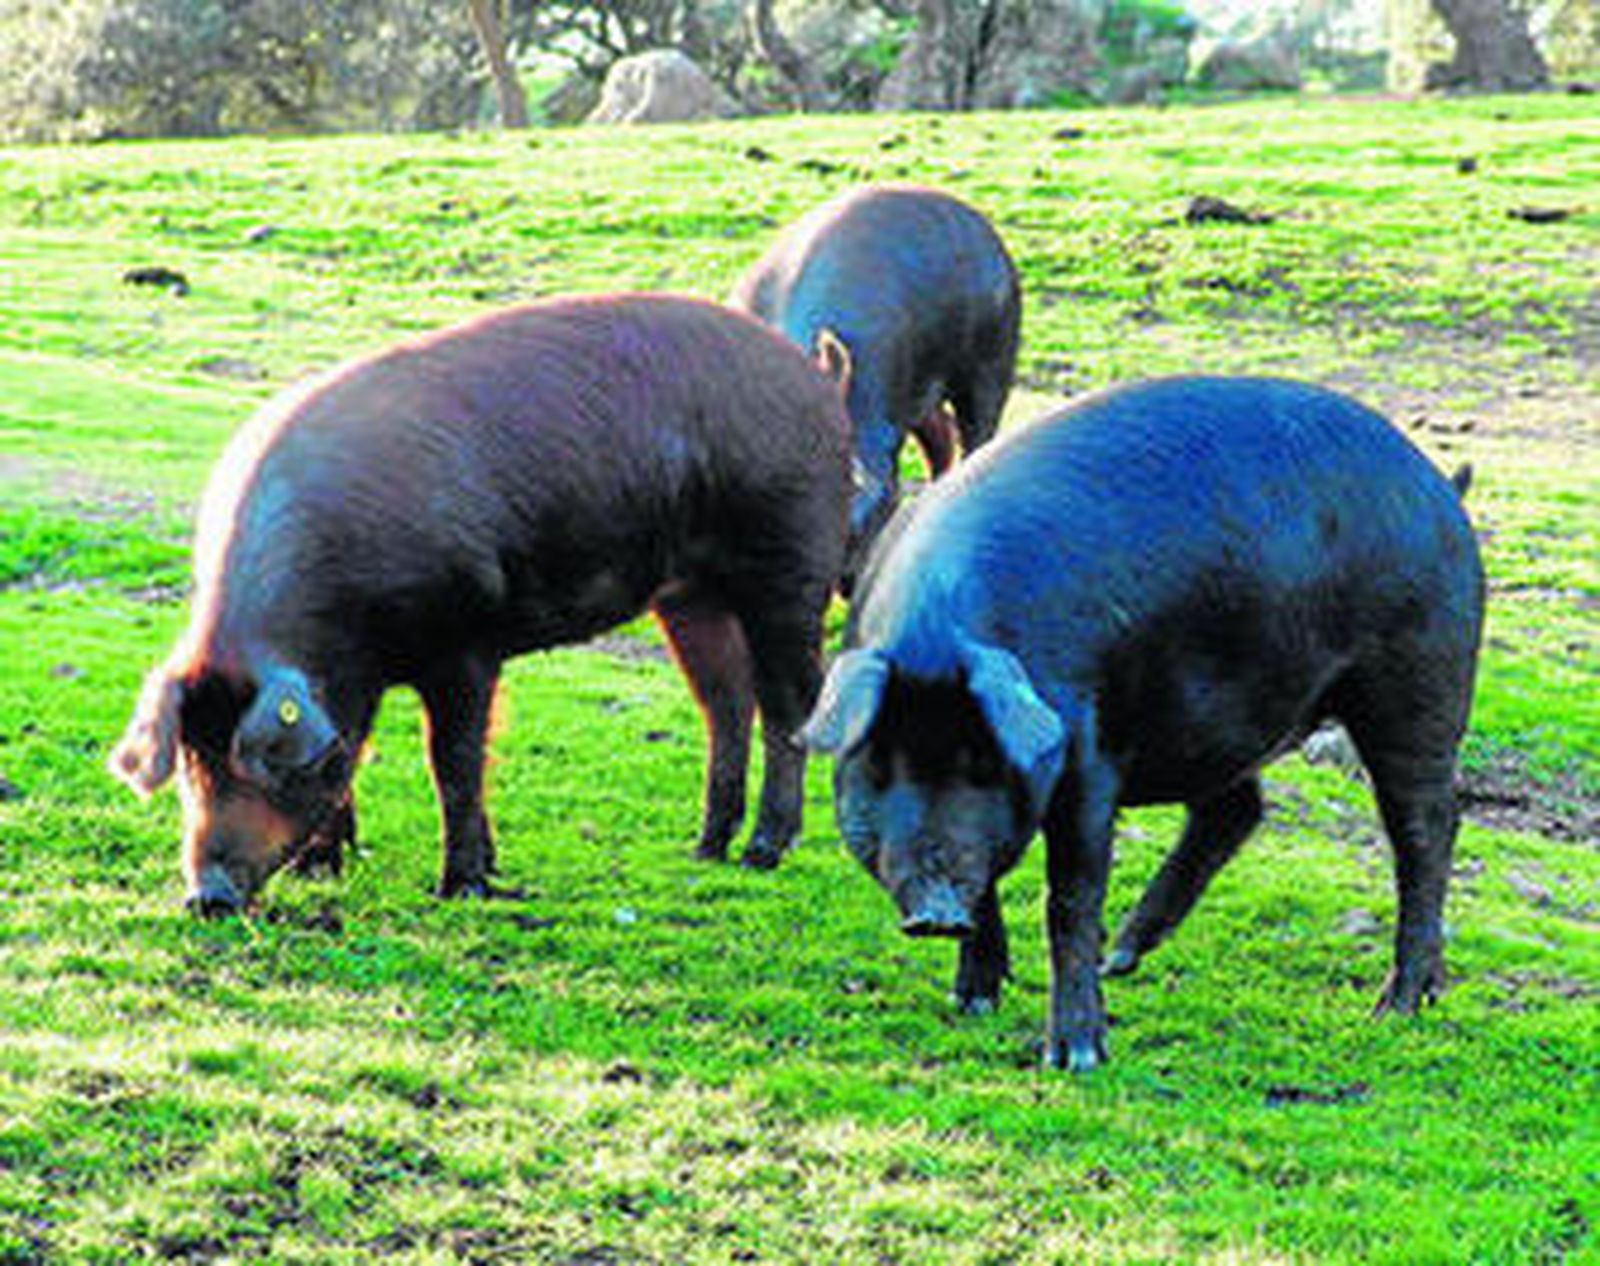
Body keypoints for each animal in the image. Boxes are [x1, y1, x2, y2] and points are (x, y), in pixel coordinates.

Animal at [109, 294, 851, 915]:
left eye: (252, 762)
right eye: (192, 760)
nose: (206, 898)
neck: (341, 626)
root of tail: (818, 377)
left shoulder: (465, 645)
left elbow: (454, 762)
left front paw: (462, 886)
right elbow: (356, 750)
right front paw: (324, 869)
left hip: (791, 568)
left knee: (787, 704)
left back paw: (762, 854)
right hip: (689, 597)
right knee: (725, 704)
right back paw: (704, 849)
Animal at [805, 376, 1484, 1071]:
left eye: (983, 762)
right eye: (880, 762)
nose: (936, 911)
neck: (937, 630)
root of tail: (1443, 491)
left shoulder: (1090, 748)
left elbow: (1070, 897)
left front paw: (1075, 1056)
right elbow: (993, 879)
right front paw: (973, 1002)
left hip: (1418, 683)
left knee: (1428, 829)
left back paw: (1395, 1007)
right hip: (1223, 717)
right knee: (1237, 809)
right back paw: (1123, 958)